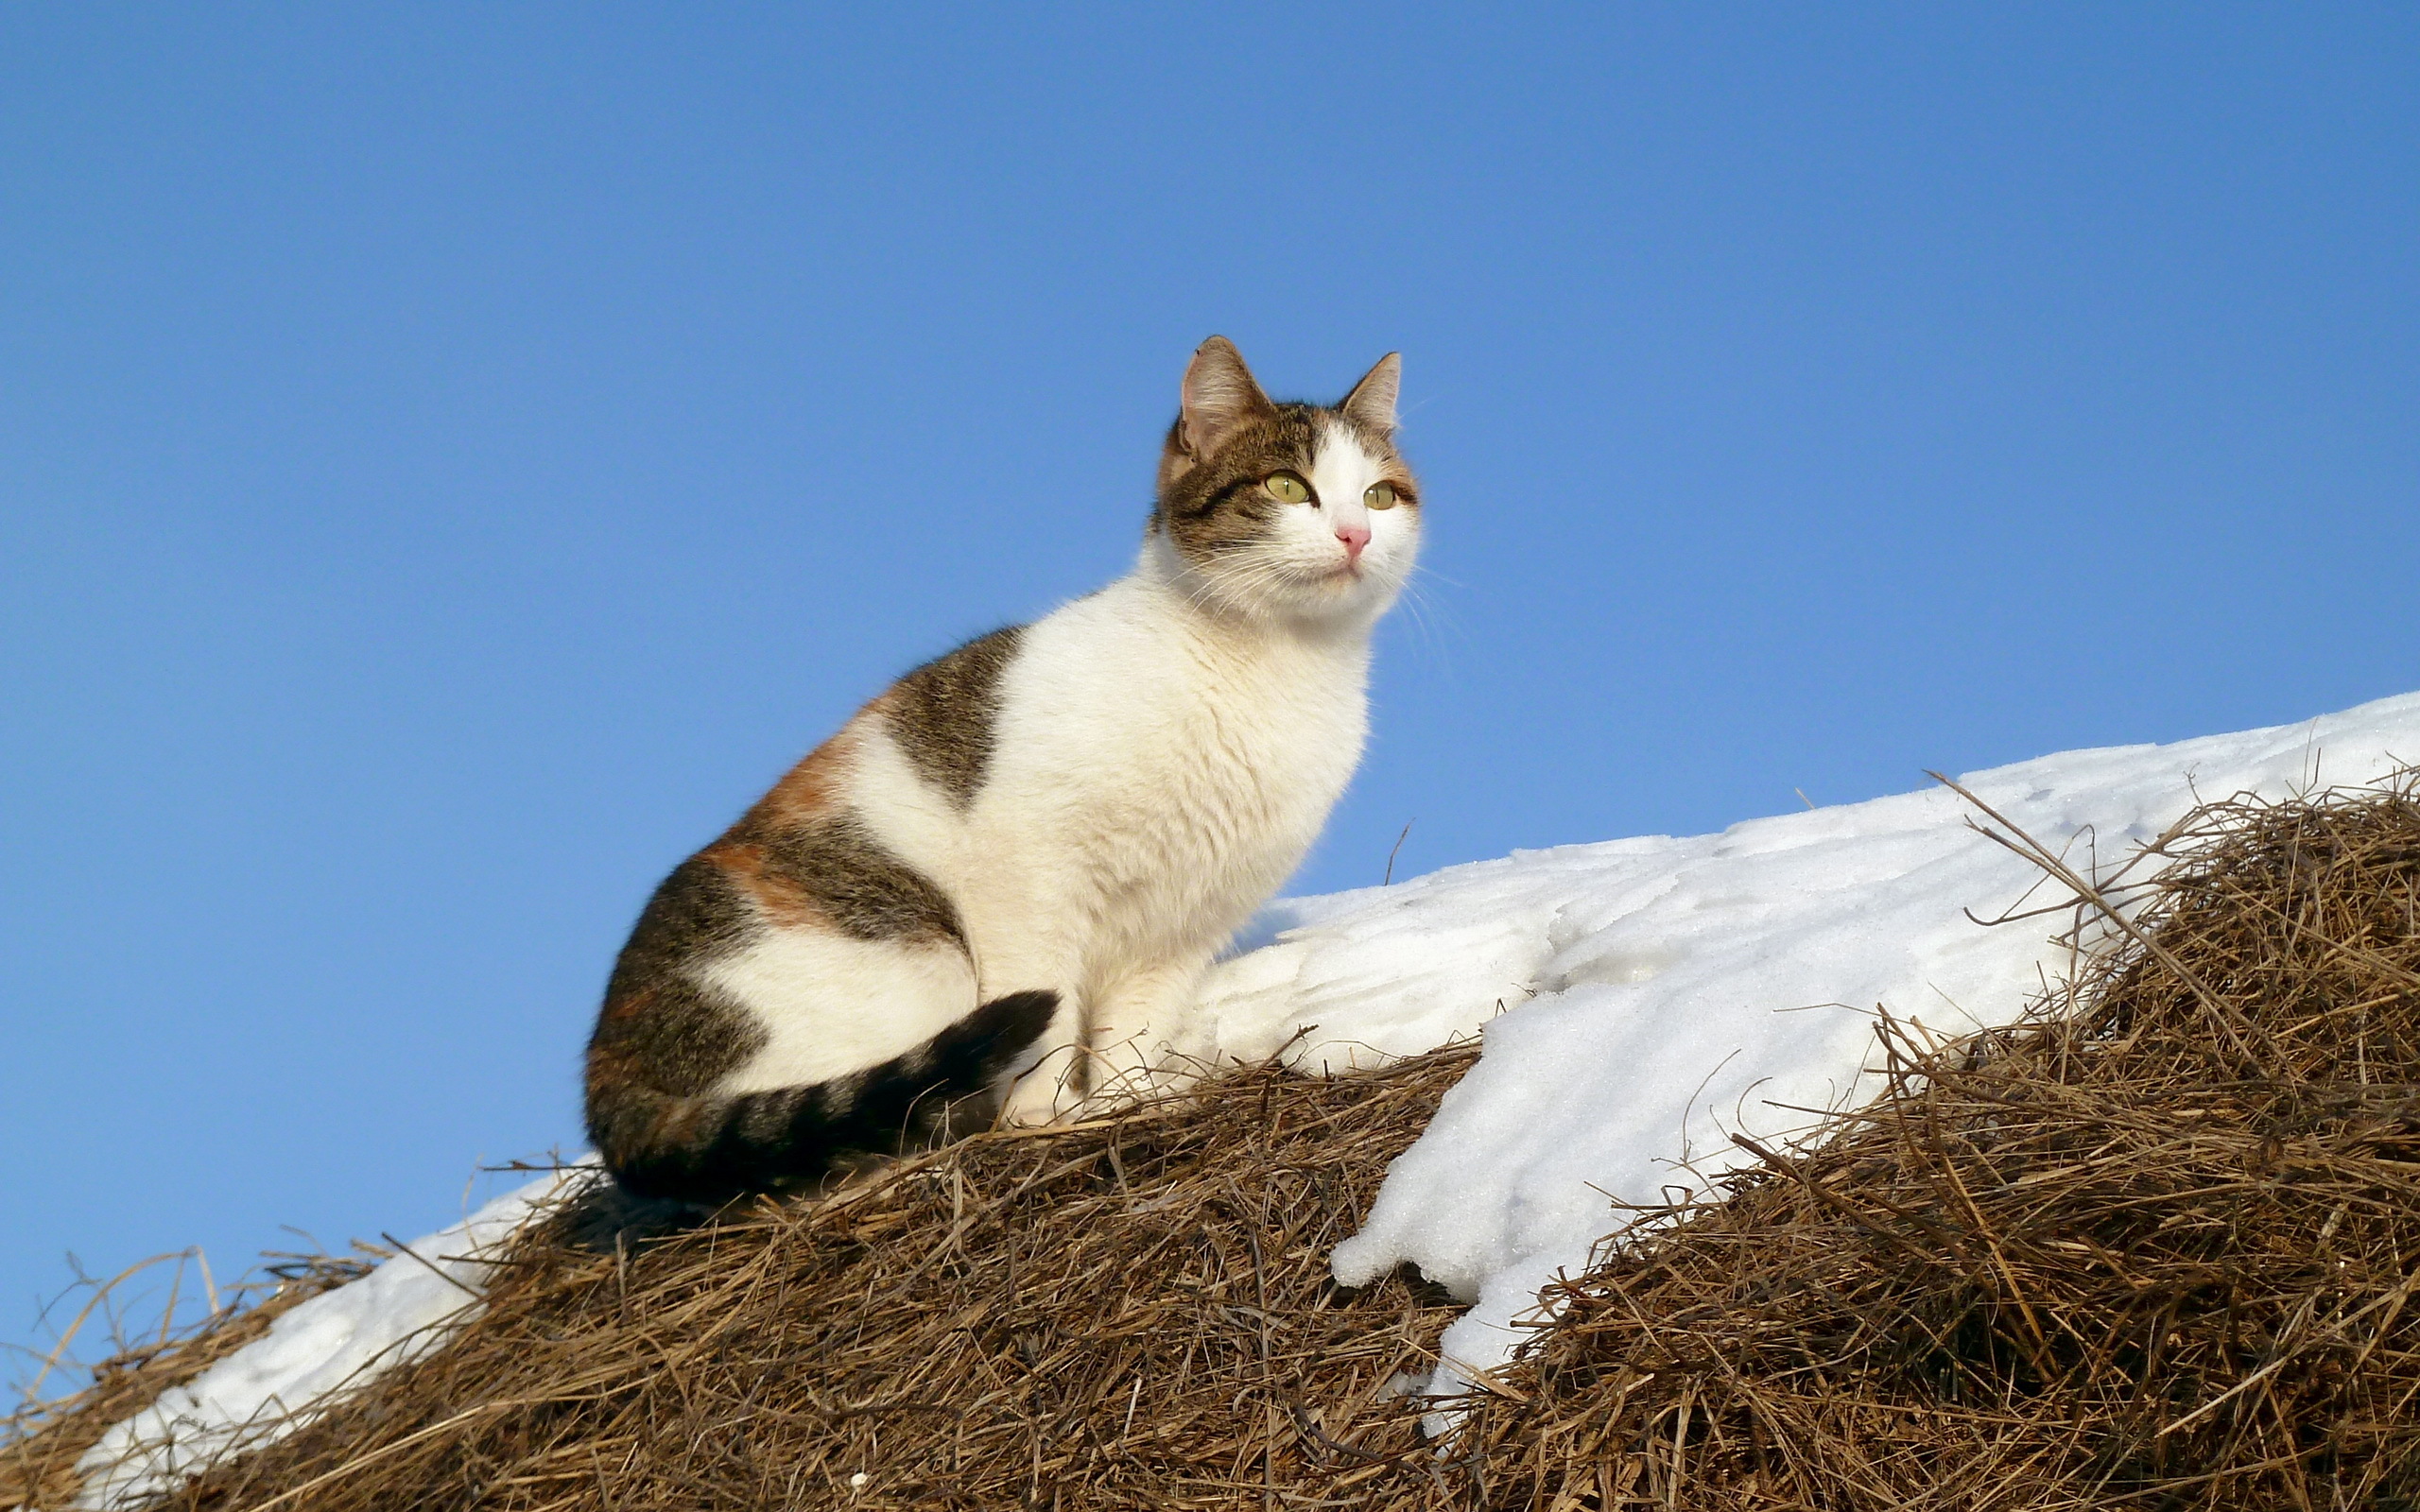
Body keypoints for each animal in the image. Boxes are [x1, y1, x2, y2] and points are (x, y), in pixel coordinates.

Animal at [582, 338, 1413, 1204]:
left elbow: (1133, 1032)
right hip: (921, 958)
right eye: (1288, 486)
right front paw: (1039, 1114)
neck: (1273, 674)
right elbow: (1046, 1010)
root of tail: (608, 1079)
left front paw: (1120, 1103)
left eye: (1381, 496)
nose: (1356, 534)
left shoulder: (1183, 927)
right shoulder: (1028, 880)